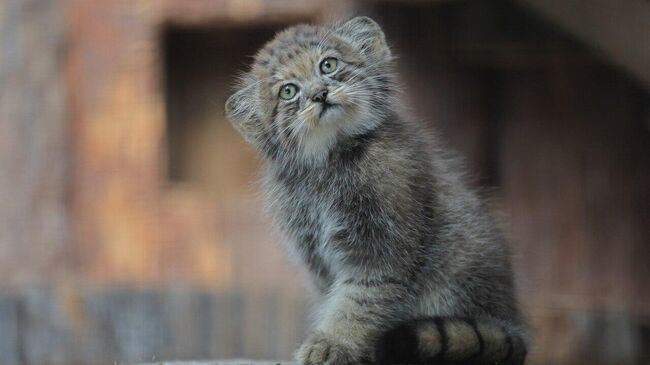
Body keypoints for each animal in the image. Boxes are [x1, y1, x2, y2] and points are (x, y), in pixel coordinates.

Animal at [225, 15, 524, 362]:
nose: (319, 93)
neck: (329, 162)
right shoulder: (316, 258)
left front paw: (333, 343)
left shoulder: (382, 248)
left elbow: (358, 302)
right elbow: (335, 299)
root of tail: (513, 324)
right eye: (288, 91)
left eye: (328, 64)